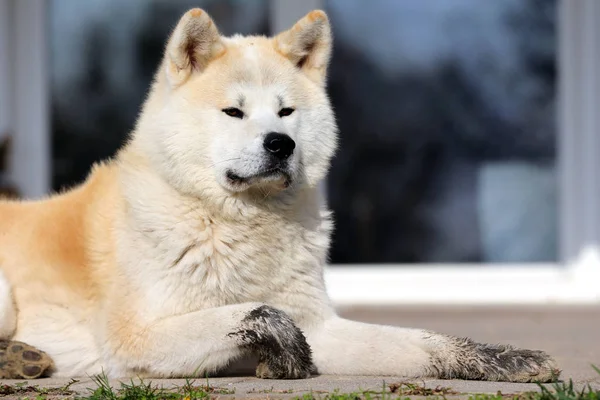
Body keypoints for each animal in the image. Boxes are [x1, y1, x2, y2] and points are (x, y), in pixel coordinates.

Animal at [1, 7, 564, 382]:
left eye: (286, 112)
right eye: (234, 112)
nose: (281, 143)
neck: (236, 227)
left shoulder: (324, 327)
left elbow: (423, 343)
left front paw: (501, 358)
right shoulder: (135, 340)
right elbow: (260, 313)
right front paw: (281, 350)